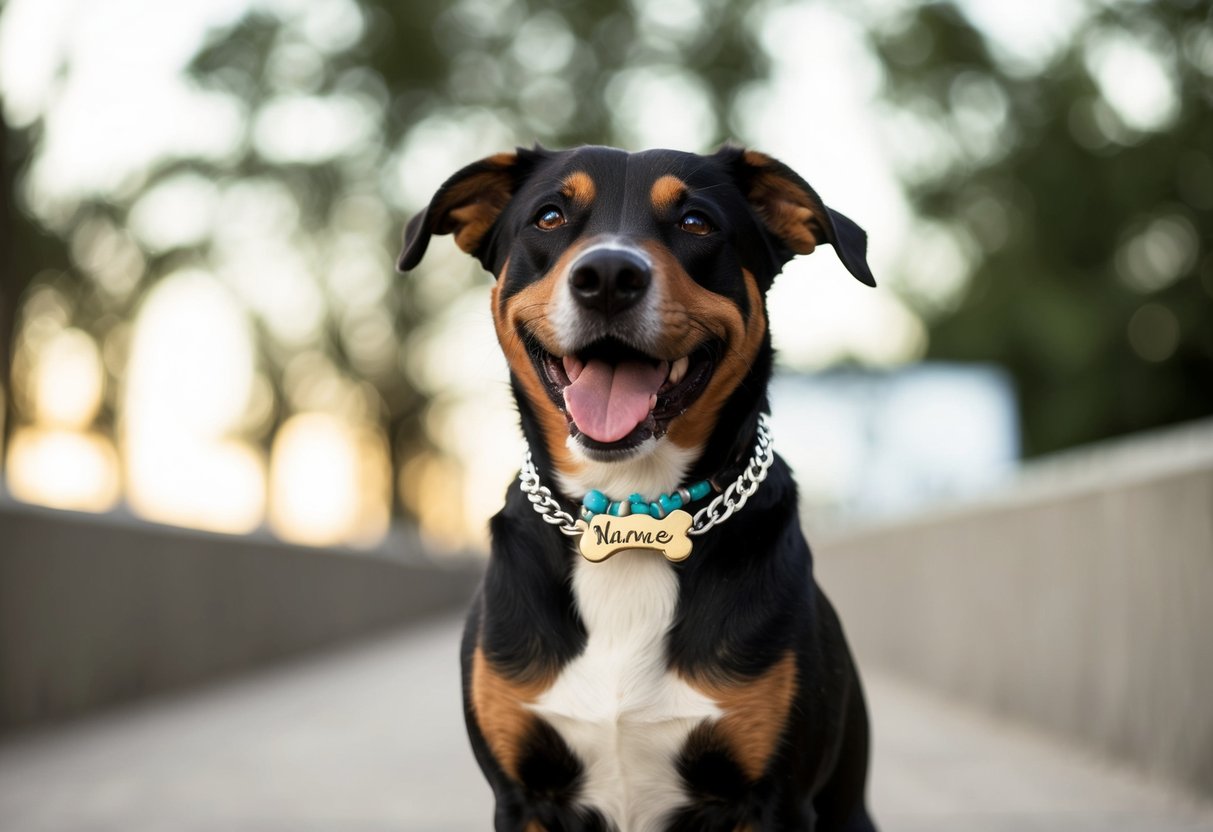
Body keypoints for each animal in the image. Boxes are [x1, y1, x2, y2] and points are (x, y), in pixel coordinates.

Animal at [402, 148, 878, 832]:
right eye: (549, 216)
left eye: (696, 221)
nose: (607, 275)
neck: (630, 506)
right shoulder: (520, 794)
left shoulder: (774, 799)